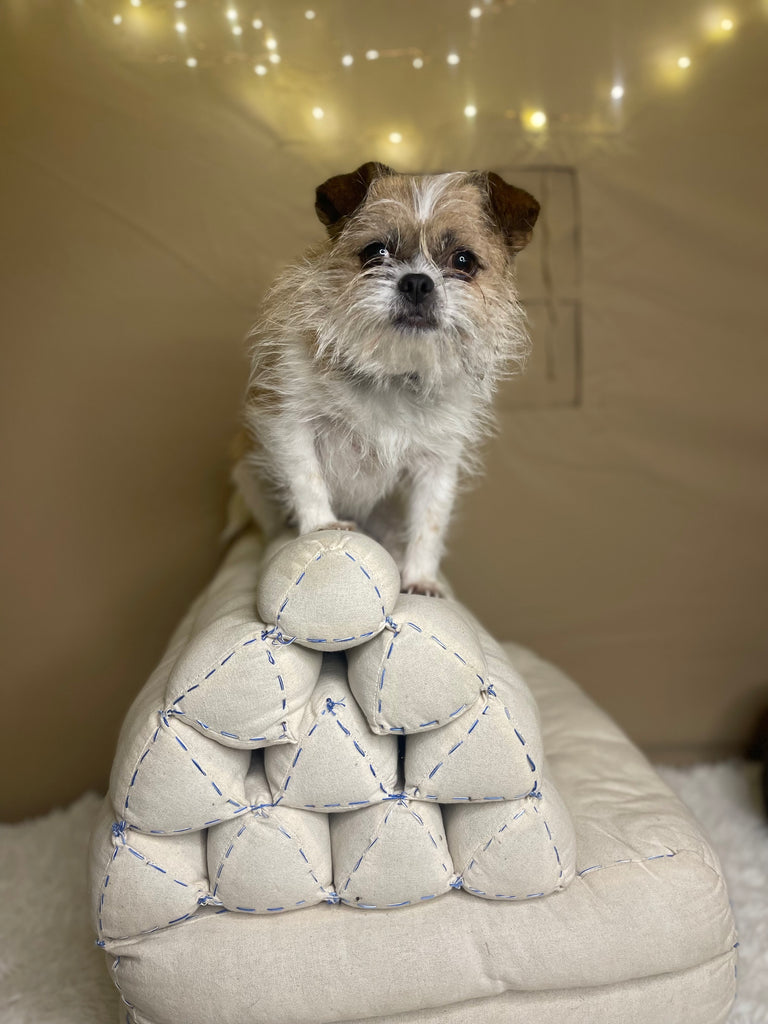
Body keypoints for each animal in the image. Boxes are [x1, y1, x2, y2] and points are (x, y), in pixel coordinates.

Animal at [234, 162, 540, 598]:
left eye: (463, 261)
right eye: (375, 252)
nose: (416, 282)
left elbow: (429, 522)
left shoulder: (438, 462)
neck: (391, 370)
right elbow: (306, 475)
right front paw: (321, 524)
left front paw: (420, 579)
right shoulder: (288, 420)